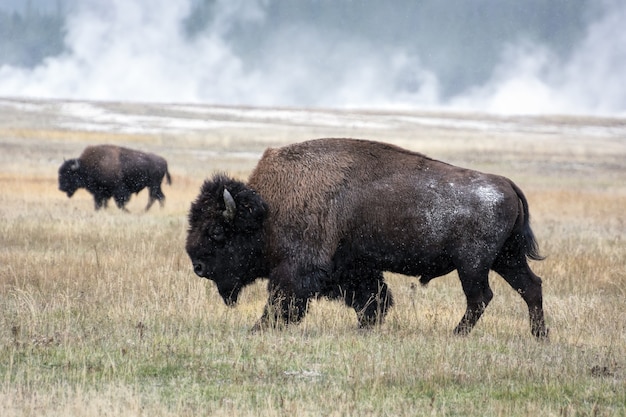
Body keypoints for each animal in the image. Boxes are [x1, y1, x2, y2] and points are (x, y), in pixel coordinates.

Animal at [184, 138, 544, 336]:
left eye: (217, 231)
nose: (197, 266)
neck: (269, 209)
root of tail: (506, 184)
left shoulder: (298, 269)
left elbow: (283, 301)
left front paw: (259, 328)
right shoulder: (355, 268)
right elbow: (374, 300)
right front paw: (364, 328)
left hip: (472, 264)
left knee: (481, 297)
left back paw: (457, 334)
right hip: (506, 258)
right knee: (530, 287)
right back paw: (540, 336)